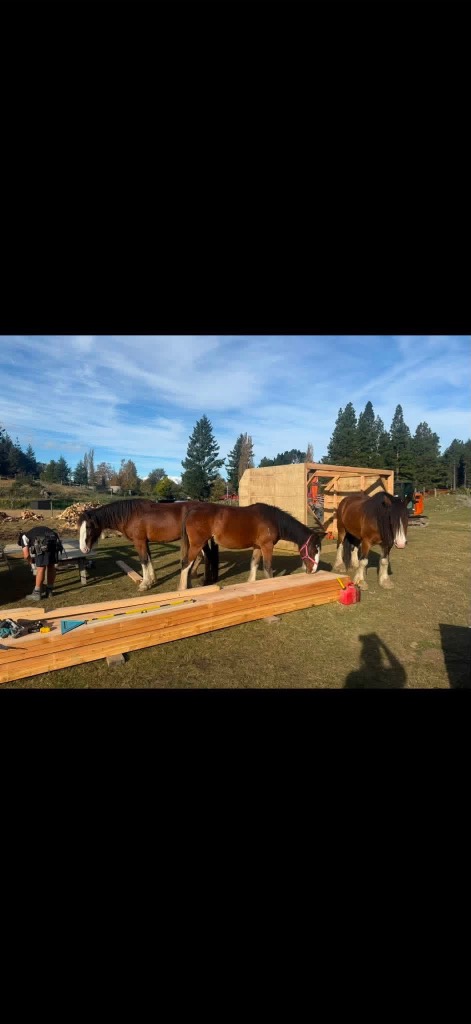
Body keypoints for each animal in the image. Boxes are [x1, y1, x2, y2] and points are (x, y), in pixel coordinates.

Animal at [78, 499, 216, 592]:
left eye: (89, 527)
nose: (83, 549)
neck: (130, 515)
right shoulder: (145, 542)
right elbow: (149, 559)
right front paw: (152, 579)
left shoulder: (139, 541)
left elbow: (143, 560)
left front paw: (144, 584)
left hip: (199, 541)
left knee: (207, 556)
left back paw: (205, 580)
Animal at [179, 501, 323, 590]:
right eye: (312, 550)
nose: (313, 570)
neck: (273, 519)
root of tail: (192, 510)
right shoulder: (267, 546)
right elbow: (267, 567)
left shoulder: (258, 546)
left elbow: (254, 563)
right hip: (197, 544)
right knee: (186, 564)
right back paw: (183, 589)